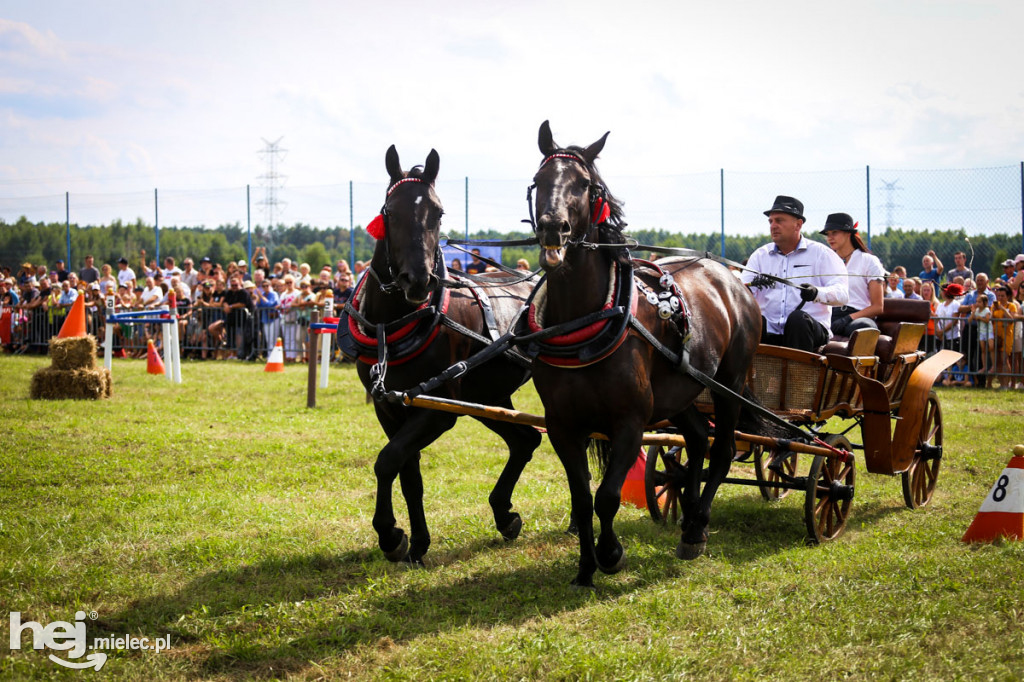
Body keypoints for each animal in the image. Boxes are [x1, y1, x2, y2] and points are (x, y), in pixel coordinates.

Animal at [337, 147, 544, 561]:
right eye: (390, 211)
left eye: (439, 212)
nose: (418, 280)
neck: (395, 323)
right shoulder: (391, 406)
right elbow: (407, 472)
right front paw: (417, 541)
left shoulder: (437, 409)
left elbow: (388, 460)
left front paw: (390, 533)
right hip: (487, 396)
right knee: (525, 440)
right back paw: (504, 513)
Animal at [528, 120, 761, 585]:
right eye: (539, 179)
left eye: (584, 184)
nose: (552, 228)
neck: (585, 322)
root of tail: (732, 279)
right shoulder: (562, 426)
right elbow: (581, 499)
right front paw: (585, 568)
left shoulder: (630, 421)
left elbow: (607, 496)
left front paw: (611, 553)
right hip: (682, 390)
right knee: (697, 439)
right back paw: (687, 516)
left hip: (728, 384)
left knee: (722, 449)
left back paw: (697, 528)